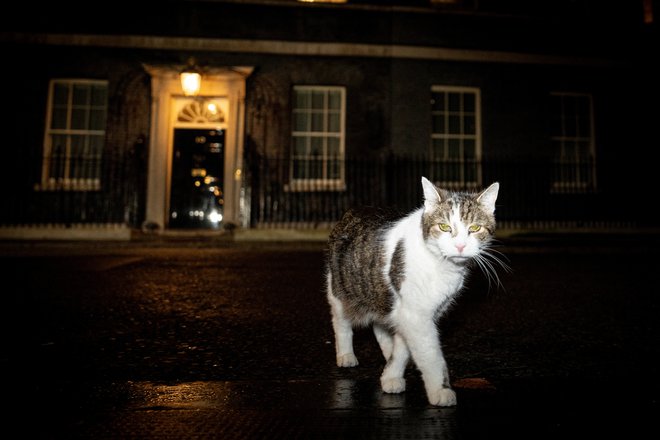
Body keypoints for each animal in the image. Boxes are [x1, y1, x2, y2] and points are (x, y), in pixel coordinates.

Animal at [328, 175, 502, 406]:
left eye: (474, 228)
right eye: (444, 227)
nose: (460, 246)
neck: (440, 264)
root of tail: (354, 210)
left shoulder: (413, 312)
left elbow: (404, 346)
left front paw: (391, 375)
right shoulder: (415, 314)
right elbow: (430, 354)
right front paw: (440, 390)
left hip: (381, 294)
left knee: (381, 324)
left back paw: (387, 350)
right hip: (340, 288)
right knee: (341, 321)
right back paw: (345, 354)